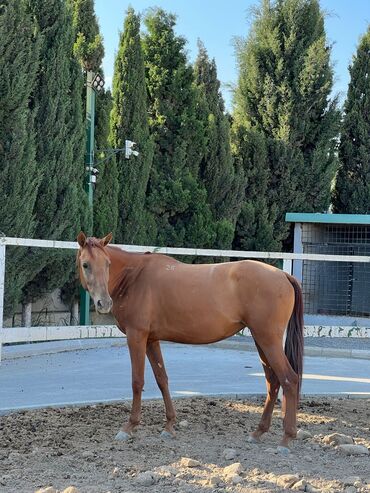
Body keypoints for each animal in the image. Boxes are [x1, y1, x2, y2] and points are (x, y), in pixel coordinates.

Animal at [76, 233, 304, 452]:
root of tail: (283, 275)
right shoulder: (151, 340)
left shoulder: (136, 336)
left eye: (107, 264)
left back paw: (286, 439)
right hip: (261, 341)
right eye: (86, 264)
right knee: (273, 382)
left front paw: (129, 426)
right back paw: (258, 432)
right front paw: (169, 425)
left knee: (289, 380)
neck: (134, 277)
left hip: (268, 340)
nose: (104, 303)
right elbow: (162, 379)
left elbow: (137, 381)